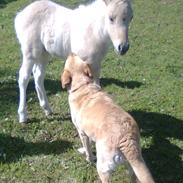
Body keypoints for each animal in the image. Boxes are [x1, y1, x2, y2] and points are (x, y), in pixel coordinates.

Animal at [61, 54, 154, 183]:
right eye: (78, 57)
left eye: (69, 59)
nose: (71, 53)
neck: (83, 85)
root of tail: (126, 138)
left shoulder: (82, 132)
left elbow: (87, 148)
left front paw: (88, 158)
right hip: (132, 165)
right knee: (133, 176)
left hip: (103, 167)